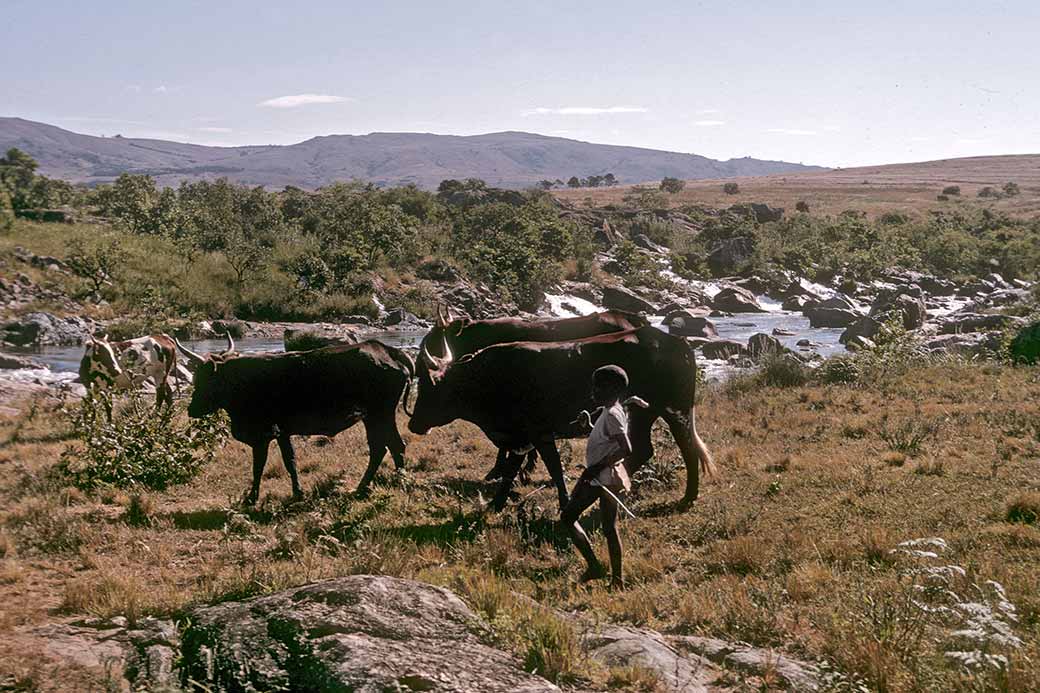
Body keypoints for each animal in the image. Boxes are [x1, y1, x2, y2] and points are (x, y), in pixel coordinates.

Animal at [175, 335, 413, 501]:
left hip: (379, 415)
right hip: (374, 417)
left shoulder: (264, 434)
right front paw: (297, 493)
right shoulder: (283, 433)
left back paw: (392, 484)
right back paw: (374, 485)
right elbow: (290, 461)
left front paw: (252, 498)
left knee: (390, 446)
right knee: (386, 447)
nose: (191, 409)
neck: (241, 382)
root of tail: (386, 350)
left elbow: (260, 466)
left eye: (203, 379)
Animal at [407, 324, 715, 507]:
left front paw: (564, 501)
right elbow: (513, 469)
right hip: (643, 415)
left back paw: (688, 497)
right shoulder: (521, 436)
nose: (412, 423)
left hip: (675, 411)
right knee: (643, 450)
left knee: (687, 449)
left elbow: (551, 468)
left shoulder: (538, 432)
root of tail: (675, 341)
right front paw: (497, 503)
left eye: (429, 387)